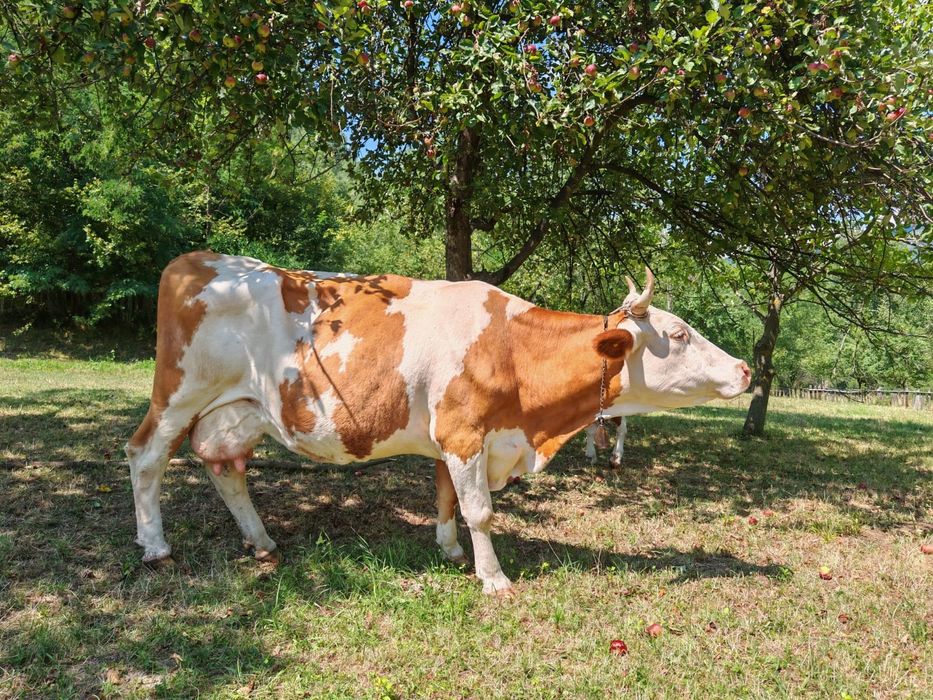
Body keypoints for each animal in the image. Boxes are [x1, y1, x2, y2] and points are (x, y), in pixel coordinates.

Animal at [127, 253, 750, 595]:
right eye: (678, 334)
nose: (745, 369)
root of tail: (199, 260)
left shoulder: (459, 439)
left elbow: (447, 496)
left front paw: (451, 552)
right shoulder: (464, 432)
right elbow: (480, 510)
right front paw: (493, 578)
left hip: (239, 411)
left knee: (226, 468)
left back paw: (261, 542)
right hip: (178, 396)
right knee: (146, 457)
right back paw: (156, 547)